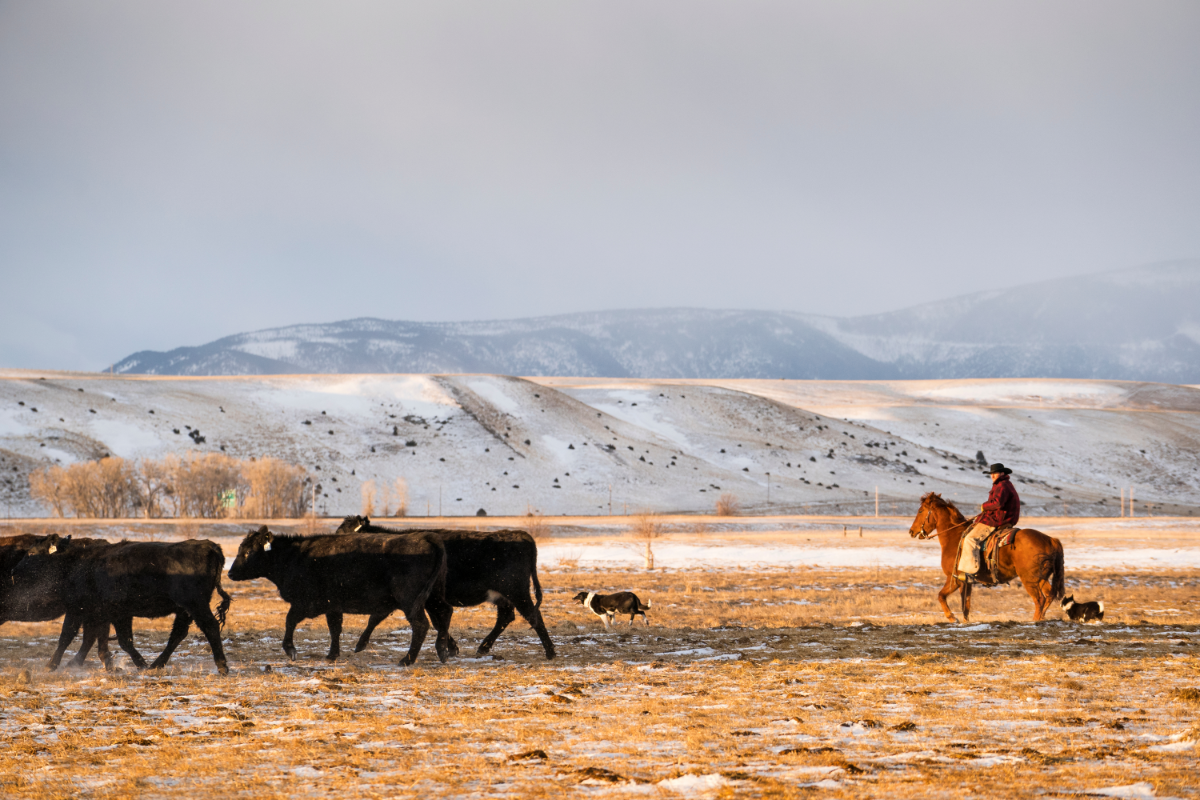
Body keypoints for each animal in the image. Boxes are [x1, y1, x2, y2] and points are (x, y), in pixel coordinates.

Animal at [225, 527, 451, 666]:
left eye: (248, 552)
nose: (230, 573)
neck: (295, 557)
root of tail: (425, 537)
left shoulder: (305, 604)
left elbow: (290, 621)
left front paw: (290, 650)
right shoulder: (332, 605)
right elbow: (334, 628)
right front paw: (332, 654)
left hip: (411, 601)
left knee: (421, 624)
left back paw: (408, 659)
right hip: (434, 596)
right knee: (444, 613)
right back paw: (443, 651)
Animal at [336, 515, 554, 662]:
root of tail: (520, 534)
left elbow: (378, 617)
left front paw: (360, 644)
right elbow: (435, 622)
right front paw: (452, 648)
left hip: (517, 591)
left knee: (533, 616)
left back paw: (550, 651)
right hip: (503, 595)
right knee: (506, 617)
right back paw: (484, 647)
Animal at [907, 491, 1070, 623]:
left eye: (920, 511)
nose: (911, 531)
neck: (954, 537)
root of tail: (1051, 540)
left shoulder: (955, 579)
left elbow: (941, 596)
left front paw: (952, 618)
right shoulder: (966, 582)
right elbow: (966, 606)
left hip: (1029, 580)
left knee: (1039, 599)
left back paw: (1035, 620)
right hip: (1040, 578)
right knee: (1049, 595)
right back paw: (1041, 618)